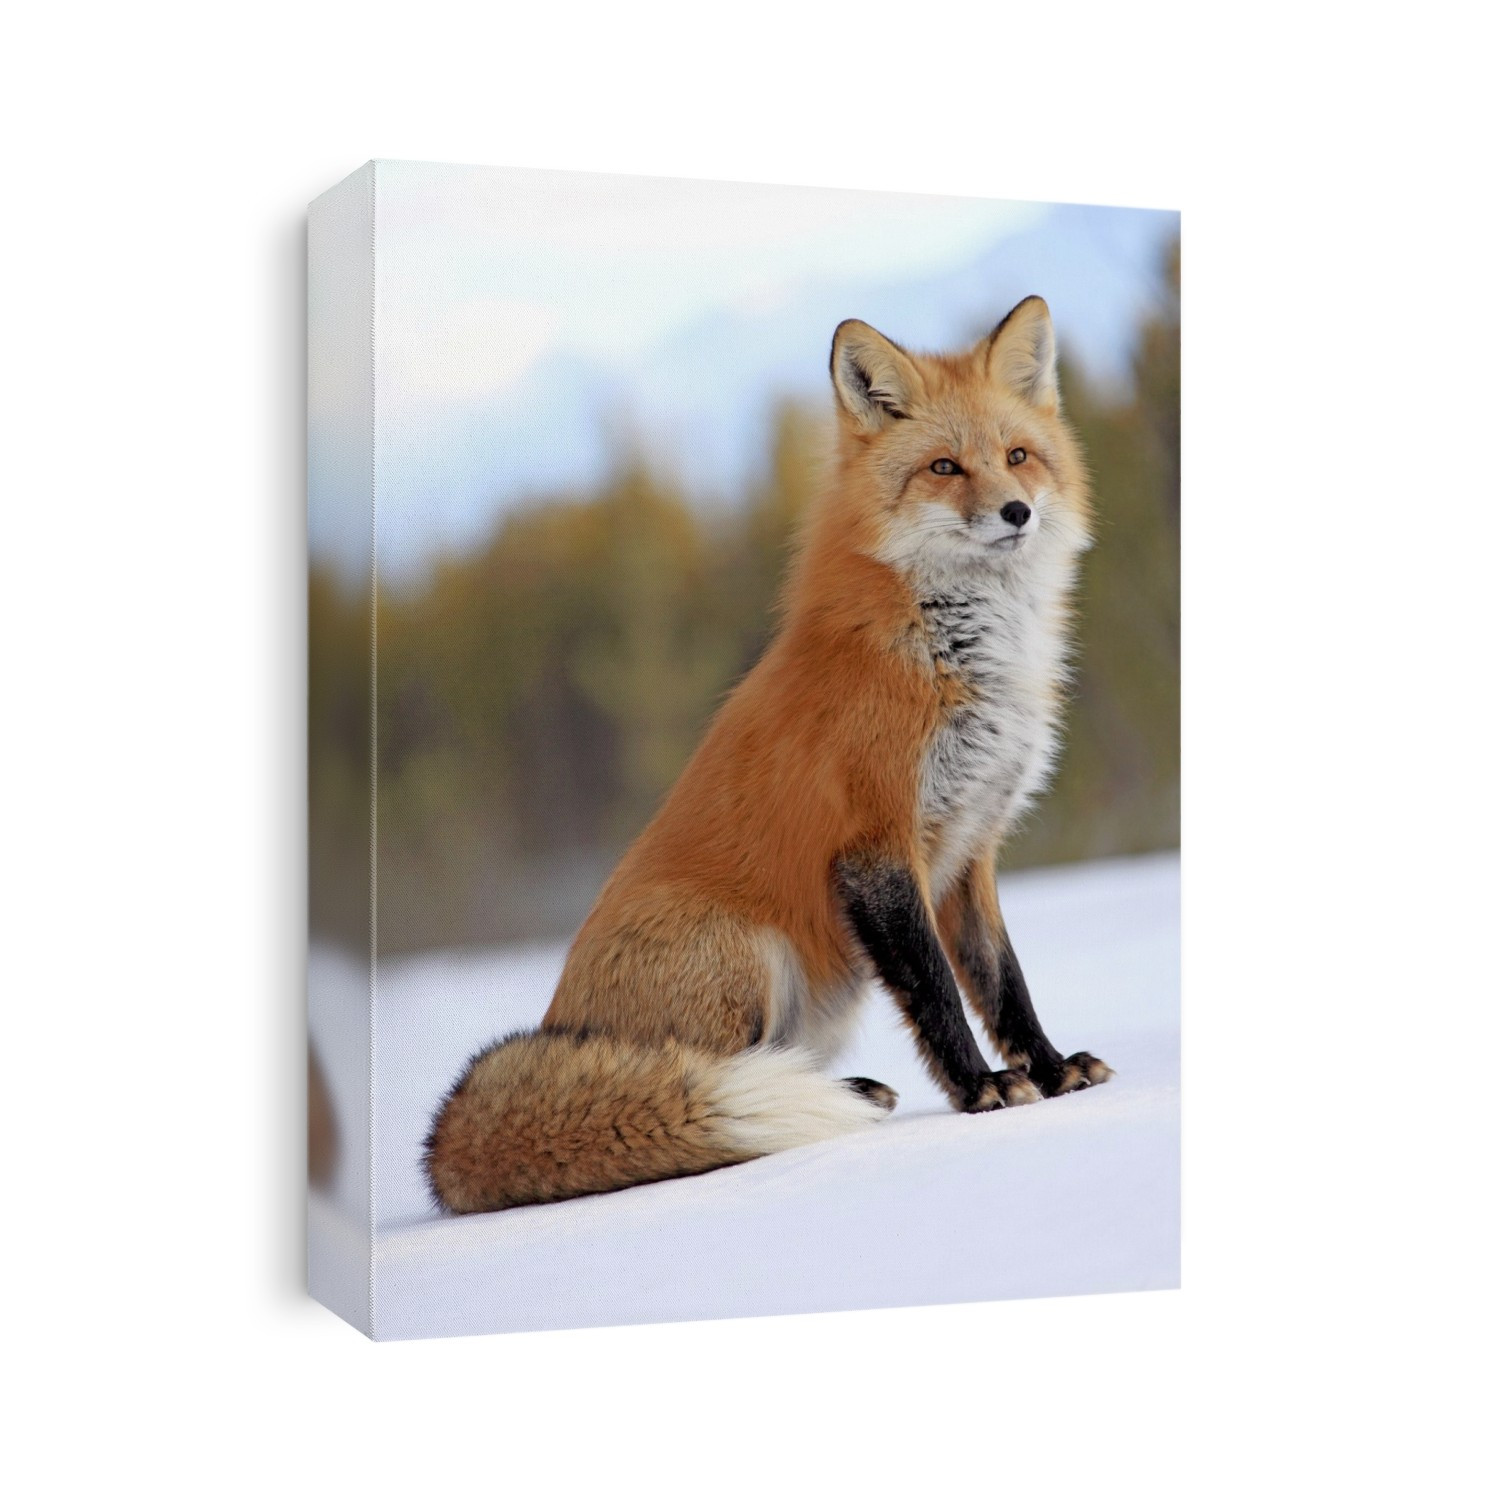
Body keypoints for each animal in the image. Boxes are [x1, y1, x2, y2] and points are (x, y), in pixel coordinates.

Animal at [424, 295, 1112, 1214]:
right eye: (943, 467)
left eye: (1017, 457)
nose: (1016, 513)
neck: (954, 651)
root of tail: (560, 1020)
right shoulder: (875, 850)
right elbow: (937, 993)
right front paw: (982, 1089)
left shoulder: (970, 849)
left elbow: (1004, 983)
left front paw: (1050, 1067)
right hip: (750, 951)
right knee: (693, 1094)